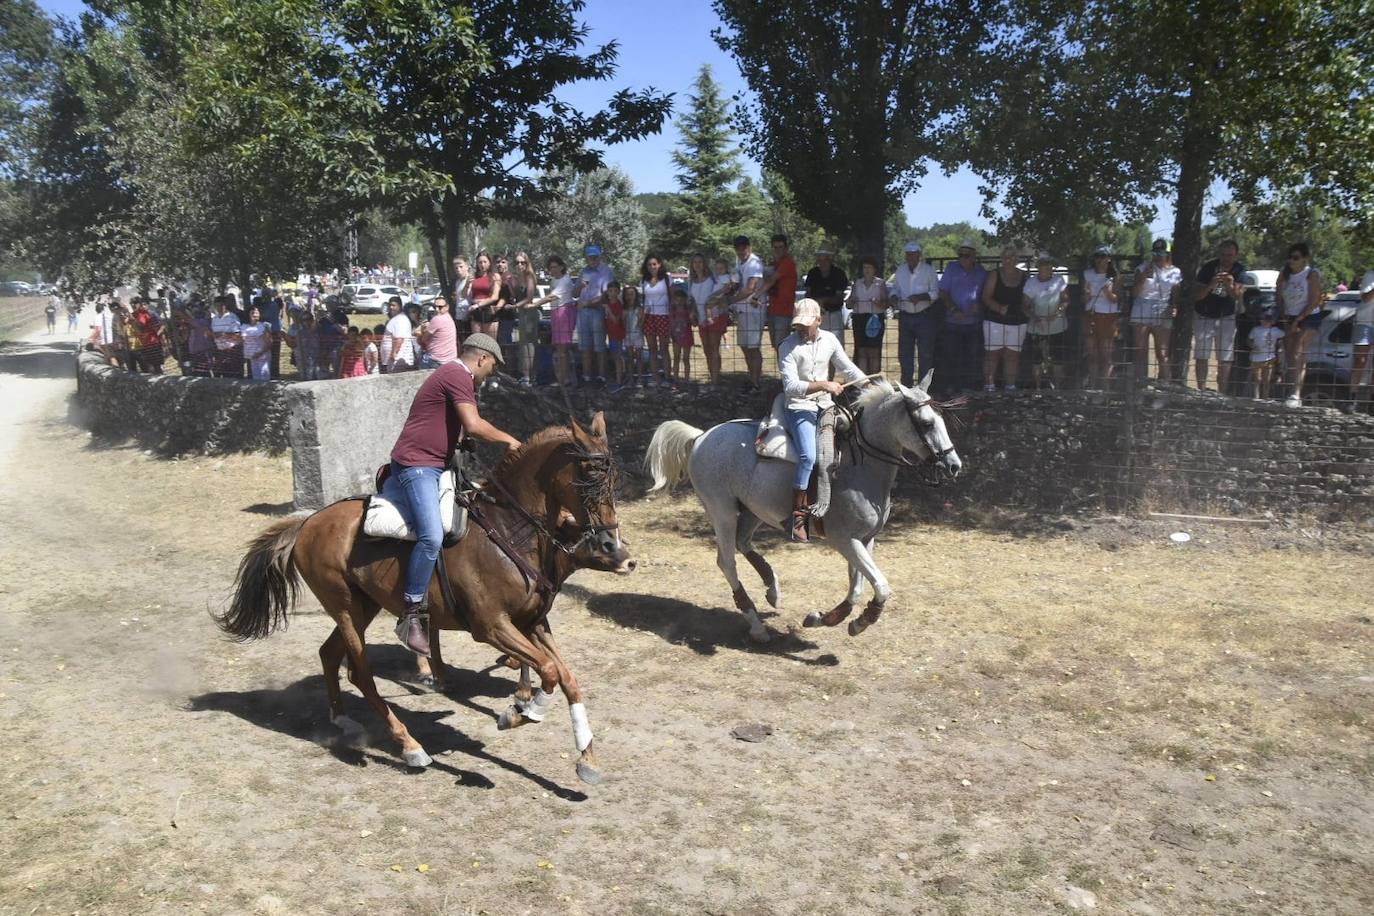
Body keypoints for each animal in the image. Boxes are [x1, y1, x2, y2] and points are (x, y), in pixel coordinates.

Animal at [214, 411, 632, 785]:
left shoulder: (533, 623)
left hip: (364, 605)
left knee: (330, 654)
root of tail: (307, 523)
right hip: (345, 607)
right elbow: (548, 671)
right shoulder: (492, 627)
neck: (509, 532)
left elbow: (567, 677)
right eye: (588, 479)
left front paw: (586, 758)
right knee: (360, 673)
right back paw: (410, 746)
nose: (613, 546)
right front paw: (518, 712)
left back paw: (343, 720)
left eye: (614, 480)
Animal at [645, 376, 961, 642]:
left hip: (752, 510)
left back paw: (773, 590)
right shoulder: (844, 539)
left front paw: (826, 618)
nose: (953, 465)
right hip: (721, 511)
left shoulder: (865, 539)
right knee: (727, 561)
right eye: (926, 423)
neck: (859, 466)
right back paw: (756, 625)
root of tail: (700, 437)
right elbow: (881, 586)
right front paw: (861, 621)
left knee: (743, 543)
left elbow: (857, 588)